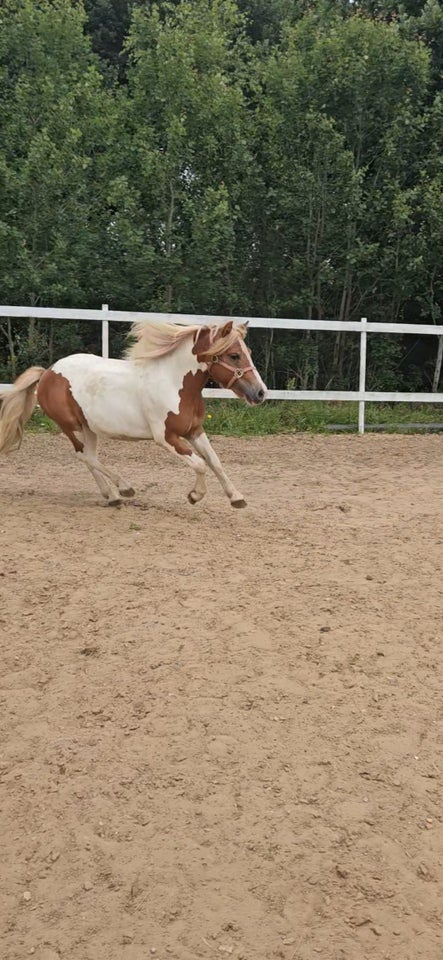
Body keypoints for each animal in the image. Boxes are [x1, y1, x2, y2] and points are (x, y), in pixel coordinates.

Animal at [0, 318, 268, 510]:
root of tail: (47, 372)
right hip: (70, 425)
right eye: (234, 355)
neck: (174, 383)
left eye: (248, 351)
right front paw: (194, 495)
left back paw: (112, 496)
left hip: (88, 427)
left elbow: (214, 461)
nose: (260, 392)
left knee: (88, 457)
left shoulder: (194, 431)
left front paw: (236, 498)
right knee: (85, 456)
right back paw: (124, 489)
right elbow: (200, 464)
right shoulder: (165, 438)